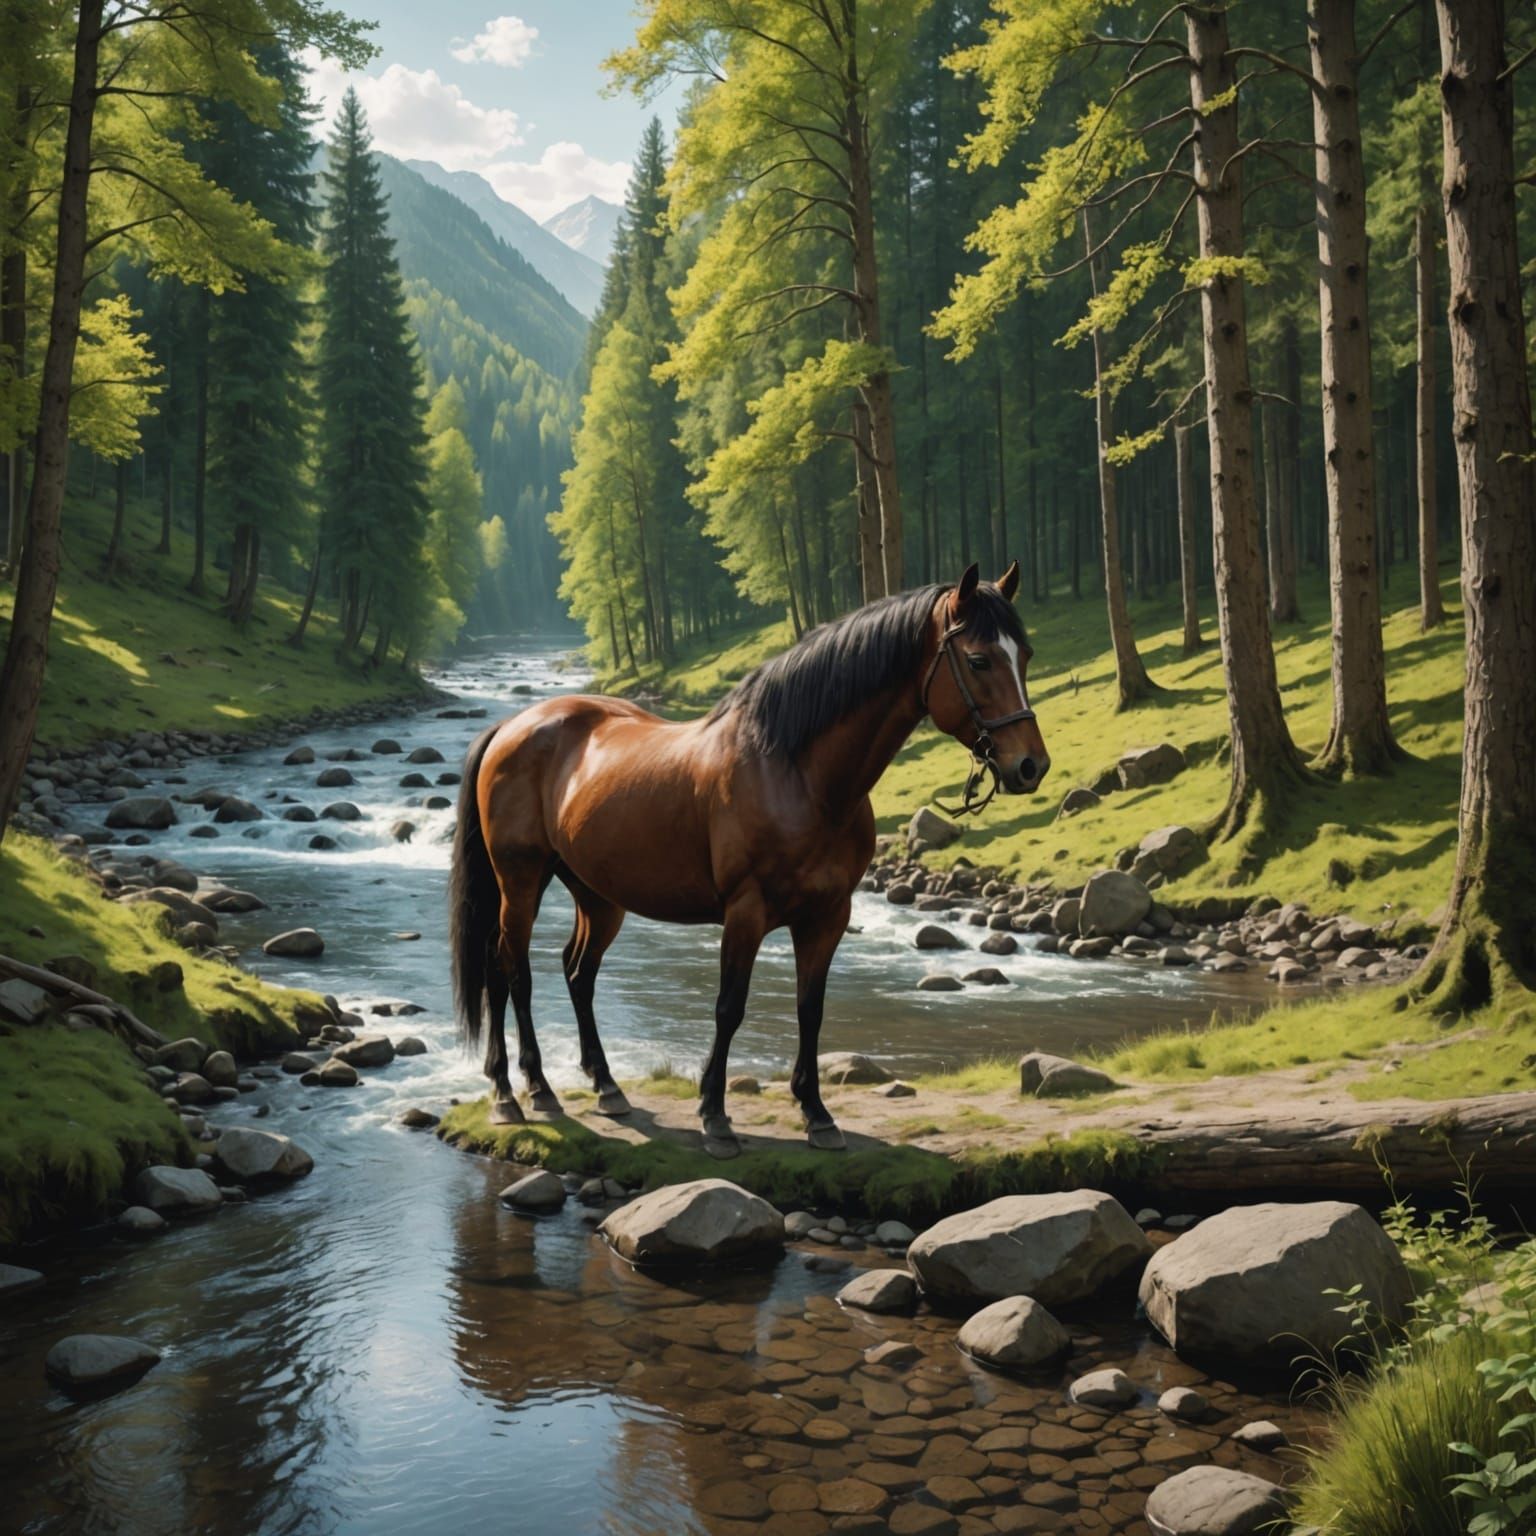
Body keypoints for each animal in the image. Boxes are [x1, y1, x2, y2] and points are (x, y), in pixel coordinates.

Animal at [449, 561, 1051, 1159]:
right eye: (978, 659)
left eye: (1024, 656)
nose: (1031, 766)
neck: (795, 773)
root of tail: (511, 728)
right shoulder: (746, 913)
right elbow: (729, 1007)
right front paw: (715, 1117)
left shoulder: (828, 916)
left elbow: (811, 1008)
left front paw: (816, 1113)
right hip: (521, 881)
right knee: (509, 971)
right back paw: (520, 1092)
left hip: (597, 894)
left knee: (577, 973)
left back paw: (606, 1087)